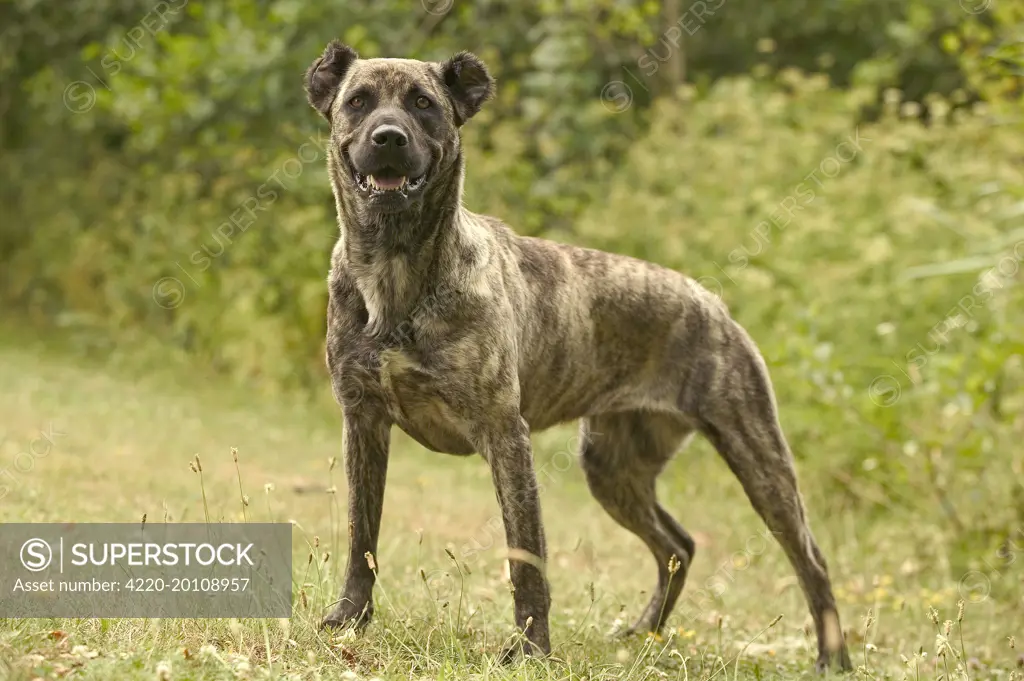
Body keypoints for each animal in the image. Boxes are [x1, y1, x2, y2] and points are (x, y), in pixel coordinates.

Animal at [305, 39, 856, 671]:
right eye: (359, 101)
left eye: (423, 103)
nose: (389, 137)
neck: (395, 273)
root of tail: (713, 303)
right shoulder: (363, 422)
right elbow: (362, 537)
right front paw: (349, 620)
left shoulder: (504, 436)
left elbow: (526, 559)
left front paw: (530, 649)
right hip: (614, 466)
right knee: (679, 545)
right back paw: (643, 634)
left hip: (759, 460)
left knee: (810, 559)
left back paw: (833, 658)